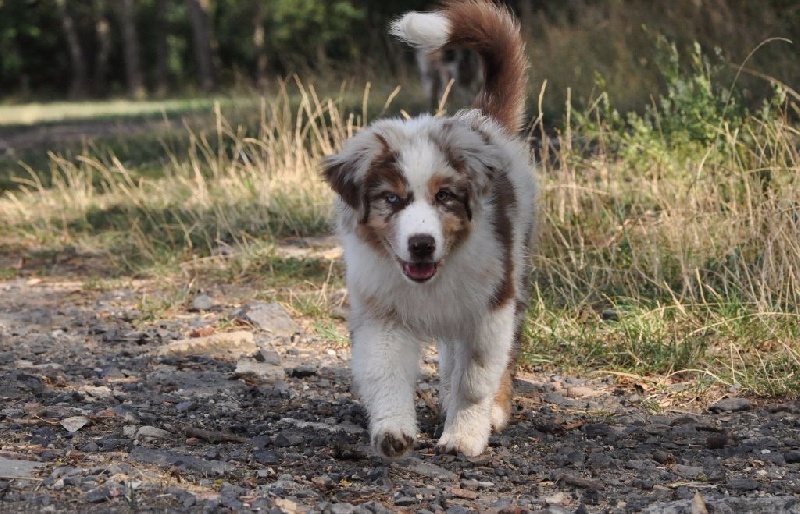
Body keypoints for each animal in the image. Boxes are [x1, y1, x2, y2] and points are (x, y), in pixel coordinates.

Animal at [322, 0, 536, 458]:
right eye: (391, 199)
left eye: (445, 197)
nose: (421, 245)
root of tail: (481, 118)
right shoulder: (381, 312)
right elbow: (385, 373)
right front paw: (393, 431)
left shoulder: (492, 308)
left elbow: (476, 379)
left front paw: (465, 435)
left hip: (514, 271)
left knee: (495, 359)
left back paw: (491, 412)